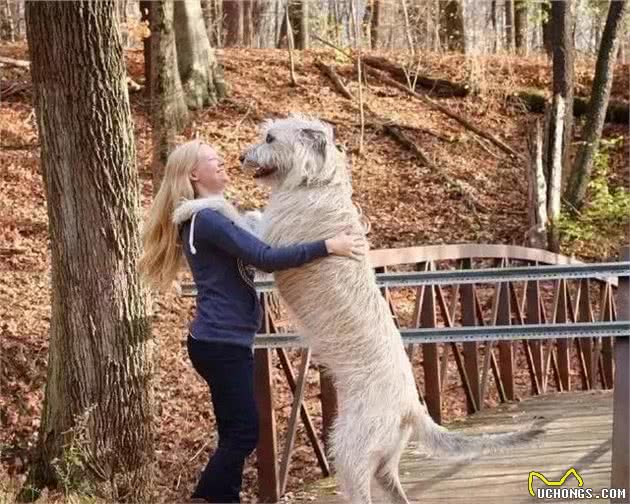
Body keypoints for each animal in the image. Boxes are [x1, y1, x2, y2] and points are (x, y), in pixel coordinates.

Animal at [239, 115, 544, 504]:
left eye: (270, 138)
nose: (241, 157)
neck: (316, 182)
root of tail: (411, 408)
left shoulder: (270, 245)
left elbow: (238, 221)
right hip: (383, 460)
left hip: (350, 446)